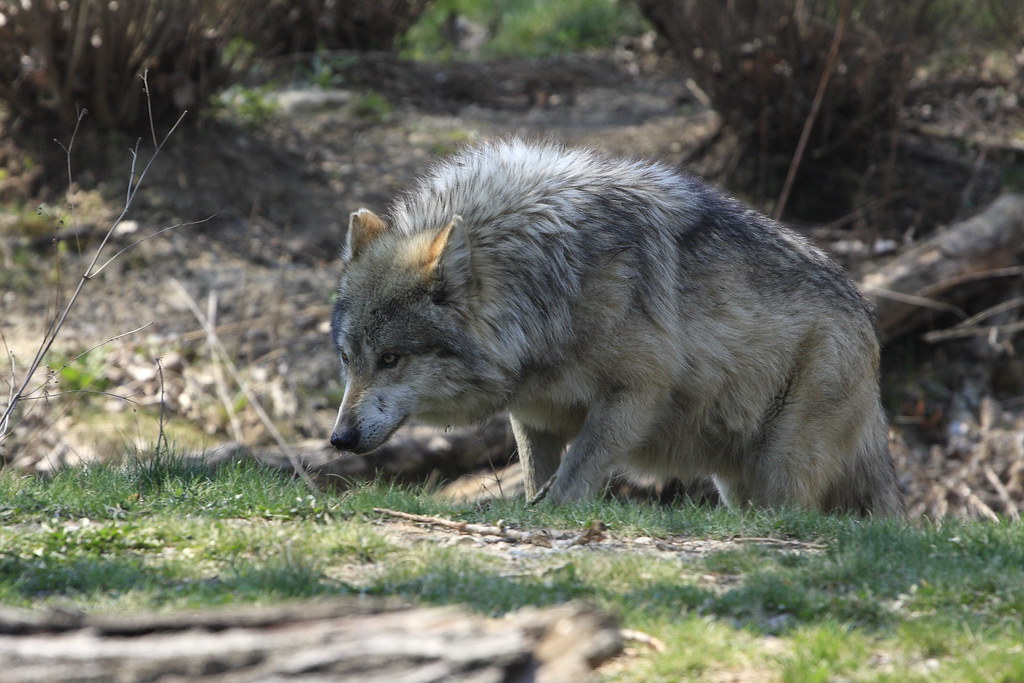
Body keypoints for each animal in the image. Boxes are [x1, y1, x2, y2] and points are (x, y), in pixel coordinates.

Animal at [328, 139, 904, 516]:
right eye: (348, 359)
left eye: (391, 359)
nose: (339, 438)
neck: (548, 283)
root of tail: (865, 313)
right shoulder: (533, 415)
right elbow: (538, 476)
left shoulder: (636, 394)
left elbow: (571, 480)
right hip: (735, 482)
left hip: (781, 468)